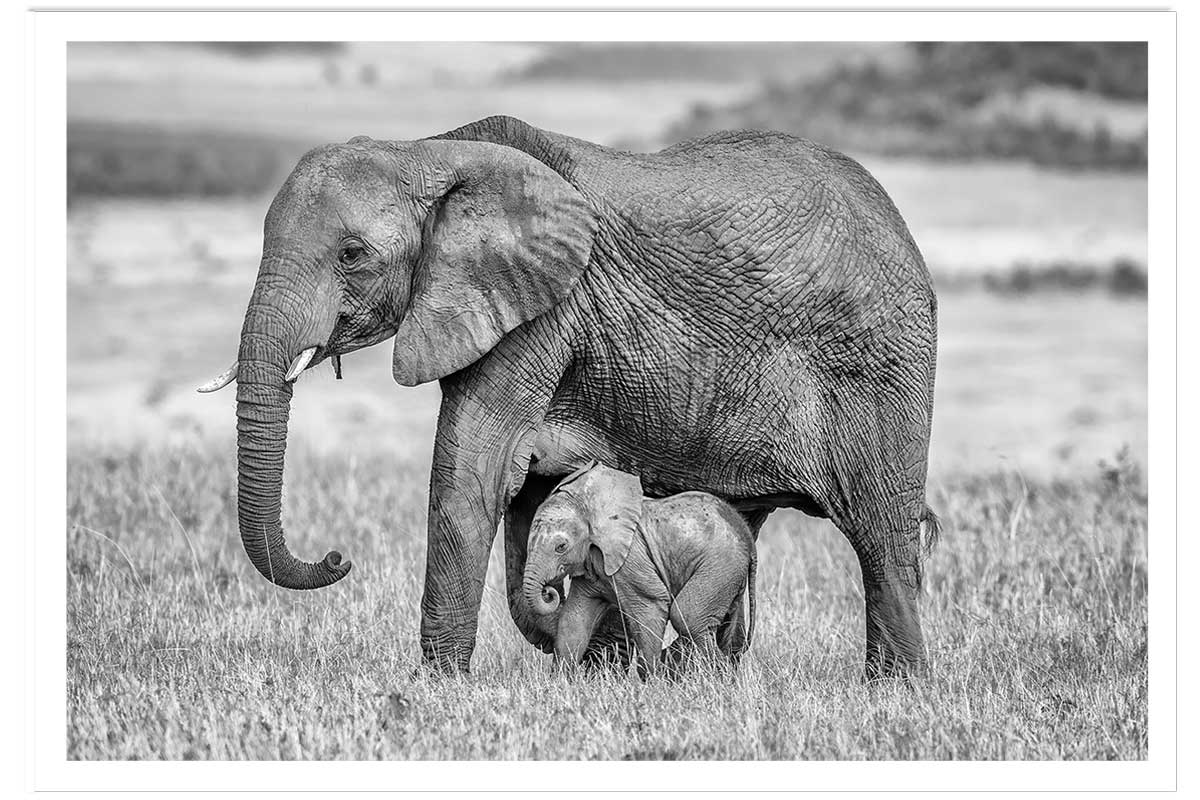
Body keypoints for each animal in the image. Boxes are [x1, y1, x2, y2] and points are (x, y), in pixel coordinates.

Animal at [523, 461, 756, 679]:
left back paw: (717, 675)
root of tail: (746, 533)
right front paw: (558, 682)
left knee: (688, 616)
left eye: (561, 547)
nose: (548, 591)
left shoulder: (631, 561)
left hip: (720, 563)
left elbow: (650, 607)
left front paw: (652, 683)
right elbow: (574, 620)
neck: (591, 508)